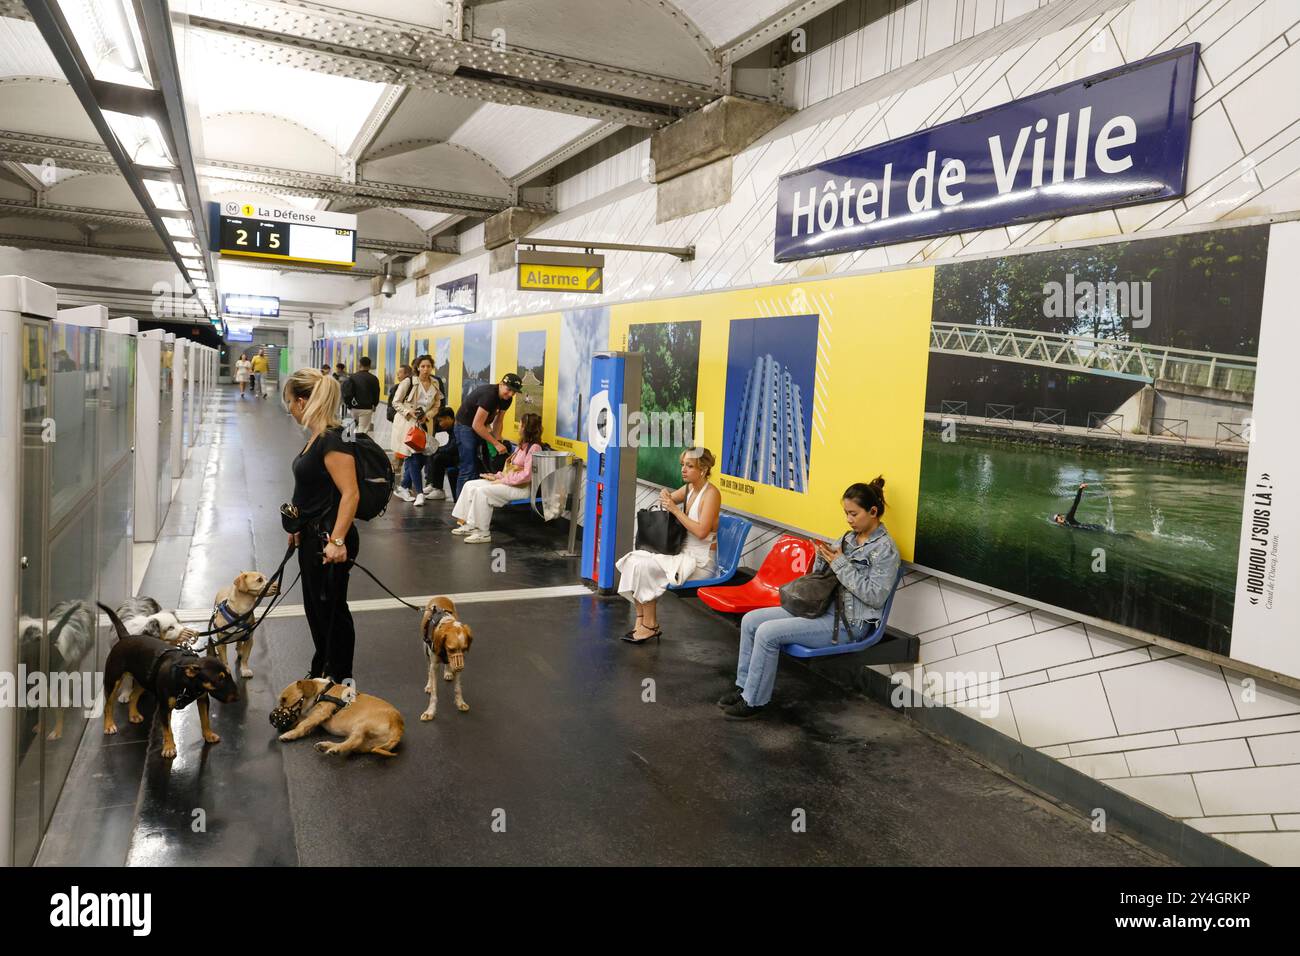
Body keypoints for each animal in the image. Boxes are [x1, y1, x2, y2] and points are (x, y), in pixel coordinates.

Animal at [98, 606, 239, 754]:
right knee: (108, 705)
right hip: (112, 681)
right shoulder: (164, 708)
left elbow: (205, 720)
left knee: (133, 696)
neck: (187, 682)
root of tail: (126, 637)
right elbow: (167, 729)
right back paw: (109, 725)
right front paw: (169, 747)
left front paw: (208, 735)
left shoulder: (203, 700)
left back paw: (133, 715)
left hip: (145, 680)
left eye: (229, 675)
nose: (237, 697)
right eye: (219, 680)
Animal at [418, 595, 475, 723]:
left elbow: (458, 688)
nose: (459, 668)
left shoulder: (457, 663)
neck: (446, 622)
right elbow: (434, 692)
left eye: (464, 649)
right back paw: (429, 685)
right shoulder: (434, 665)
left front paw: (460, 702)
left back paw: (448, 672)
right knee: (428, 670)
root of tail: (440, 596)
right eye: (451, 649)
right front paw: (430, 711)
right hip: (425, 652)